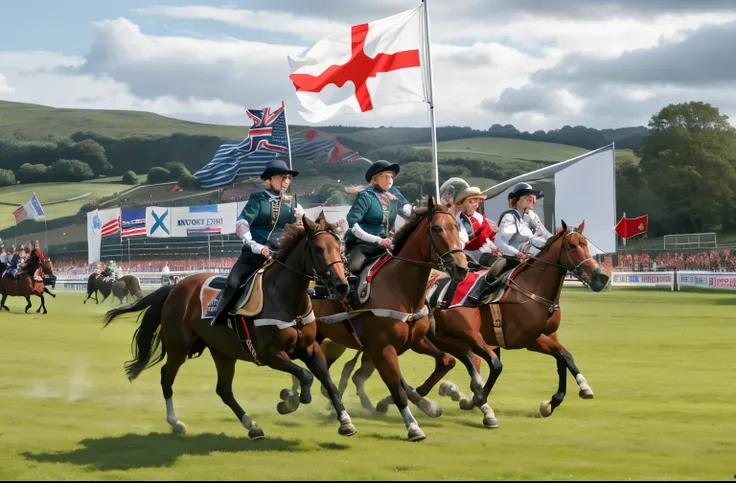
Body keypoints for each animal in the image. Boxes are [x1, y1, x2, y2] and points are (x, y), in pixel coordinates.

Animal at [102, 214, 358, 440]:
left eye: (339, 245)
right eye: (318, 248)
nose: (342, 285)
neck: (284, 300)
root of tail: (176, 287)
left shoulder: (309, 348)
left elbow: (328, 381)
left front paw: (345, 421)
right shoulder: (269, 353)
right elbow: (305, 376)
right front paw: (292, 399)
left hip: (222, 351)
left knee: (223, 390)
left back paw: (252, 426)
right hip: (179, 347)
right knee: (167, 377)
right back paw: (175, 423)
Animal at [290, 198, 468, 442]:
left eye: (456, 227)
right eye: (437, 228)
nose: (461, 267)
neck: (400, 288)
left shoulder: (415, 341)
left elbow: (446, 361)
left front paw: (425, 401)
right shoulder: (383, 348)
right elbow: (397, 388)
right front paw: (413, 426)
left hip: (330, 341)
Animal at [428, 221, 612, 430]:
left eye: (585, 244)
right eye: (572, 245)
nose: (601, 278)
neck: (534, 292)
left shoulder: (549, 335)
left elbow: (564, 357)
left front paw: (561, 398)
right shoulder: (527, 340)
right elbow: (561, 357)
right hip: (467, 335)